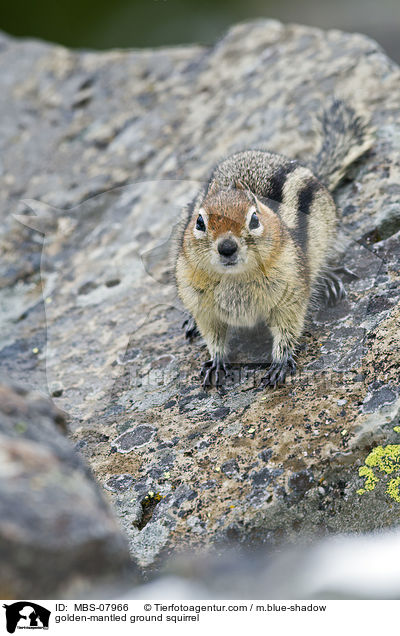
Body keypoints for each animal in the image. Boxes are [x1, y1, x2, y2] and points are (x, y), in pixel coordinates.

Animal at [173, 102, 374, 386]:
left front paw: (280, 362)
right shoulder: (205, 308)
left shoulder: (290, 292)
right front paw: (216, 362)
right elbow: (213, 336)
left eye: (254, 219)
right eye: (200, 222)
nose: (227, 248)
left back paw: (328, 279)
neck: (235, 278)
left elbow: (287, 327)